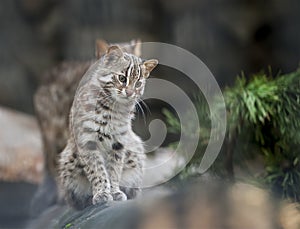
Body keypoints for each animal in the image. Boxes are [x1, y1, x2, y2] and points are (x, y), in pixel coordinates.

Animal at [57, 44, 158, 209]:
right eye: (122, 78)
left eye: (138, 84)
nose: (130, 92)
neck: (113, 108)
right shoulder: (87, 141)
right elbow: (97, 170)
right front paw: (102, 193)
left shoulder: (119, 143)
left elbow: (114, 171)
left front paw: (114, 191)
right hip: (68, 160)